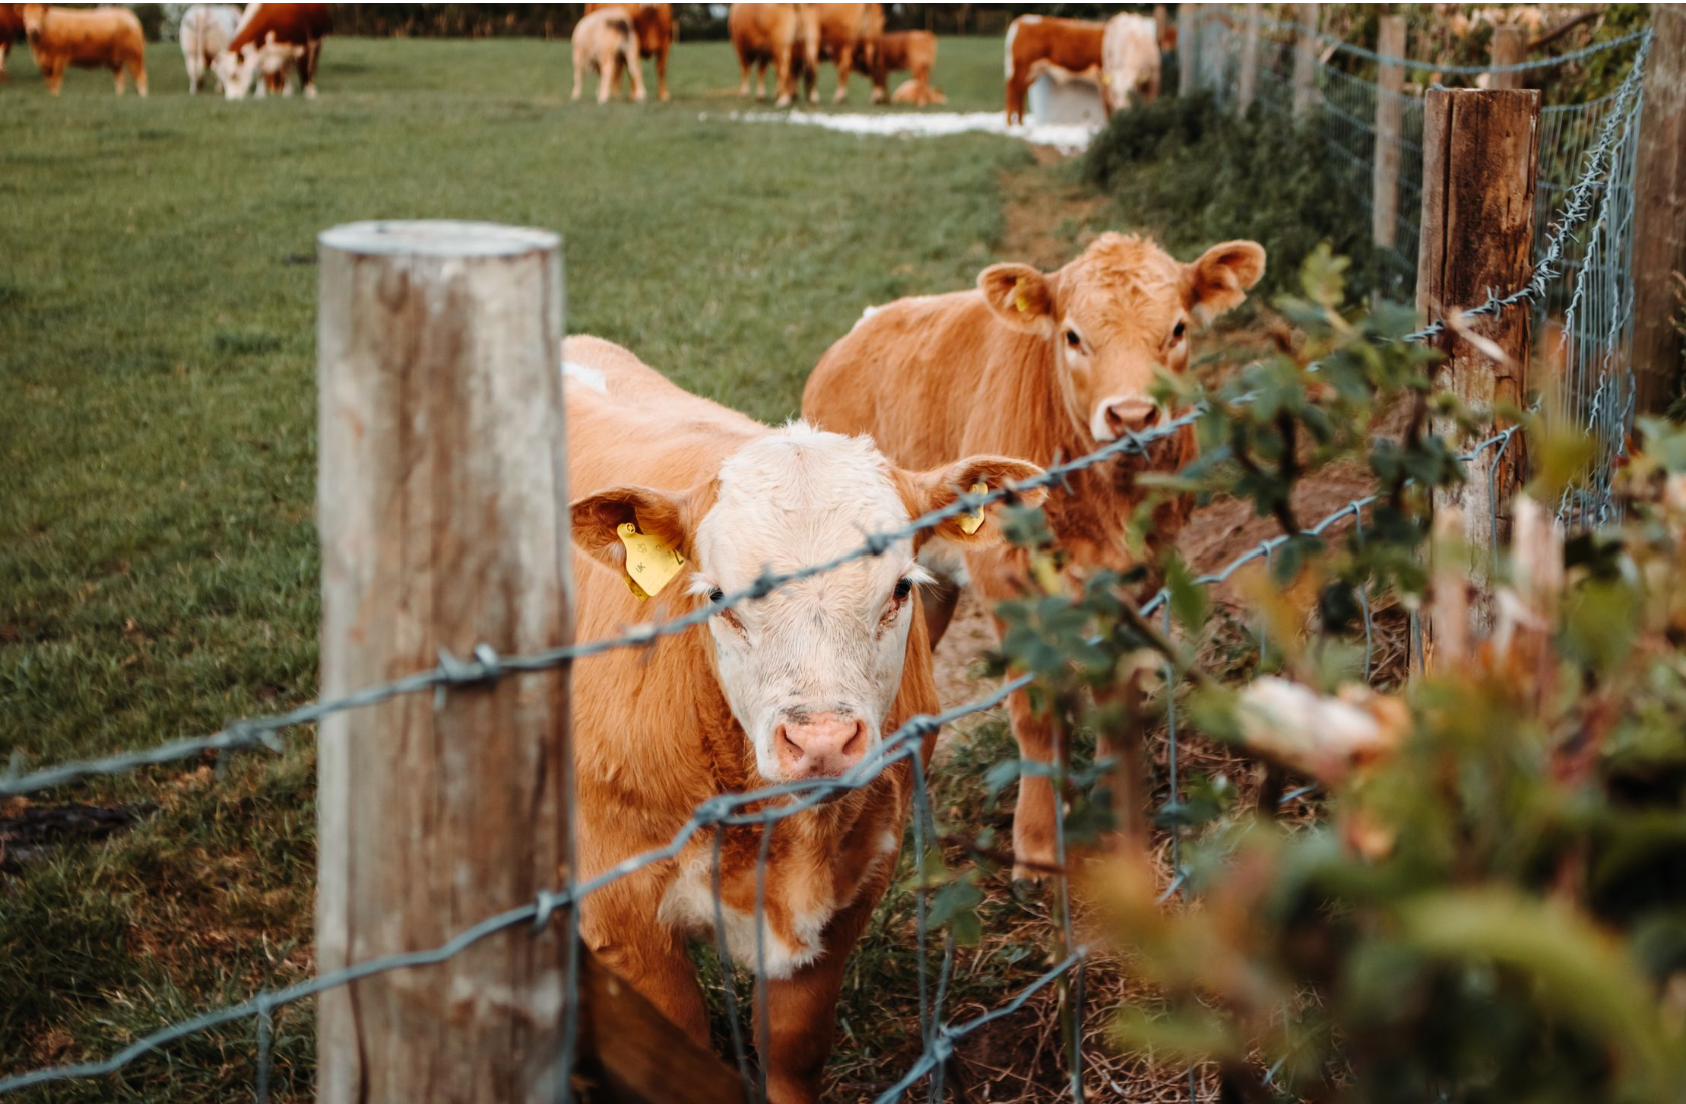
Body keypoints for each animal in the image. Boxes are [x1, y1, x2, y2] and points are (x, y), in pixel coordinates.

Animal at [563, 335, 1043, 1104]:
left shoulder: (858, 878)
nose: (821, 739)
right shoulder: (625, 916)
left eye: (900, 587)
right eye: (719, 598)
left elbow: (793, 1047)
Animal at [802, 233, 1267, 879]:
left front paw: (1114, 819)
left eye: (1177, 329)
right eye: (1073, 337)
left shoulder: (1142, 577)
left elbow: (1114, 695)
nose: (1132, 416)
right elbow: (1036, 709)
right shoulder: (1006, 582)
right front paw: (1039, 846)